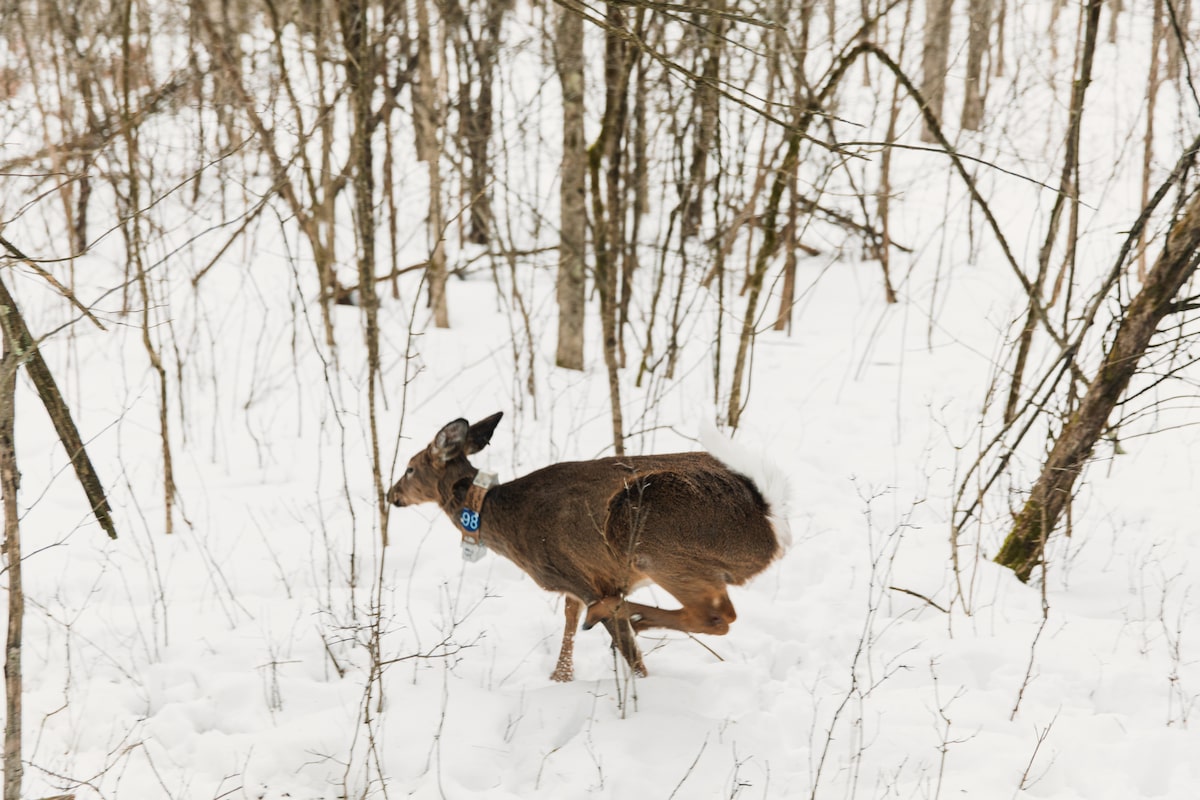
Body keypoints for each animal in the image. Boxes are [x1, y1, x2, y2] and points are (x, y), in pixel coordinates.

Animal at [387, 412, 788, 681]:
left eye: (409, 468)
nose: (391, 495)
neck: (502, 517)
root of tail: (767, 513)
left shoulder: (580, 576)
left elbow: (628, 653)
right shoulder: (574, 581)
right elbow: (567, 620)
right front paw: (560, 677)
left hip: (652, 535)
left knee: (717, 616)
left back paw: (624, 614)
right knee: (717, 616)